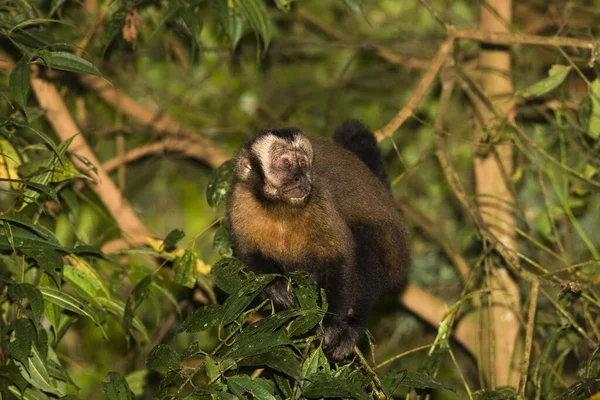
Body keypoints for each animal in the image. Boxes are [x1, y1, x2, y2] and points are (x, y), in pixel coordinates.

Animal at [224, 120, 408, 360]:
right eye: (286, 164)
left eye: (302, 163)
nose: (300, 178)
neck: (279, 206)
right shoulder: (240, 198)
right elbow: (247, 252)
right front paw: (276, 287)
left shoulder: (318, 197)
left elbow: (339, 257)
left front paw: (331, 326)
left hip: (395, 253)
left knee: (364, 240)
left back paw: (354, 326)